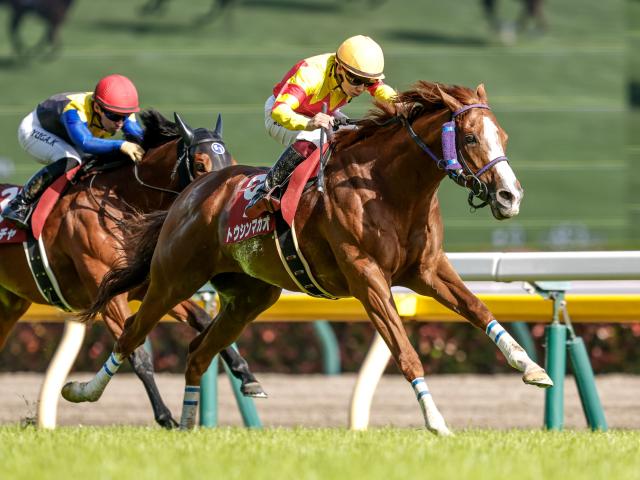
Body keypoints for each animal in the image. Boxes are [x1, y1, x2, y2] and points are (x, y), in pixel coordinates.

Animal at [0, 109, 264, 429]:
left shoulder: (151, 286)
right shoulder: (109, 296)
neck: (123, 204)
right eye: (200, 164)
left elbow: (201, 318)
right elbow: (137, 353)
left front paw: (246, 375)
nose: (224, 192)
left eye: (231, 160)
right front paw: (165, 416)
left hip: (10, 304)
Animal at [69, 81, 552, 433]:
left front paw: (531, 368)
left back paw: (188, 422)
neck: (388, 187)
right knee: (131, 334)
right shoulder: (367, 276)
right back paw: (85, 393)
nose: (510, 196)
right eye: (469, 136)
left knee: (198, 352)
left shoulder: (427, 270)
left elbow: (479, 309)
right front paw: (436, 421)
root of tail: (189, 193)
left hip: (250, 297)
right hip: (174, 277)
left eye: (502, 136)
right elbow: (404, 350)